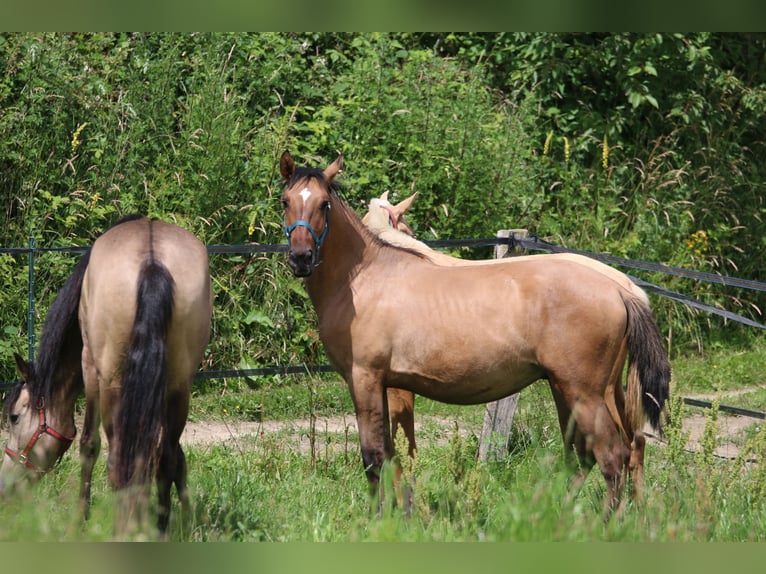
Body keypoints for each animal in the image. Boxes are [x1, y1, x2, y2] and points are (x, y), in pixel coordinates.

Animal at [1, 216, 212, 540]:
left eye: (14, 417)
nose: (5, 486)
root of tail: (152, 263)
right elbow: (175, 458)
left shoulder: (90, 370)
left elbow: (88, 445)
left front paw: (79, 520)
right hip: (179, 384)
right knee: (164, 457)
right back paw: (158, 529)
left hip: (112, 384)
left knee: (117, 461)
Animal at [282, 152, 672, 516]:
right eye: (286, 201)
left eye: (324, 203)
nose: (301, 257)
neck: (365, 277)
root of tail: (620, 289)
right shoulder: (385, 385)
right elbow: (394, 453)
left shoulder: (367, 379)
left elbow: (376, 455)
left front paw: (381, 517)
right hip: (583, 391)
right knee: (601, 452)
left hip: (584, 393)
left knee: (612, 456)